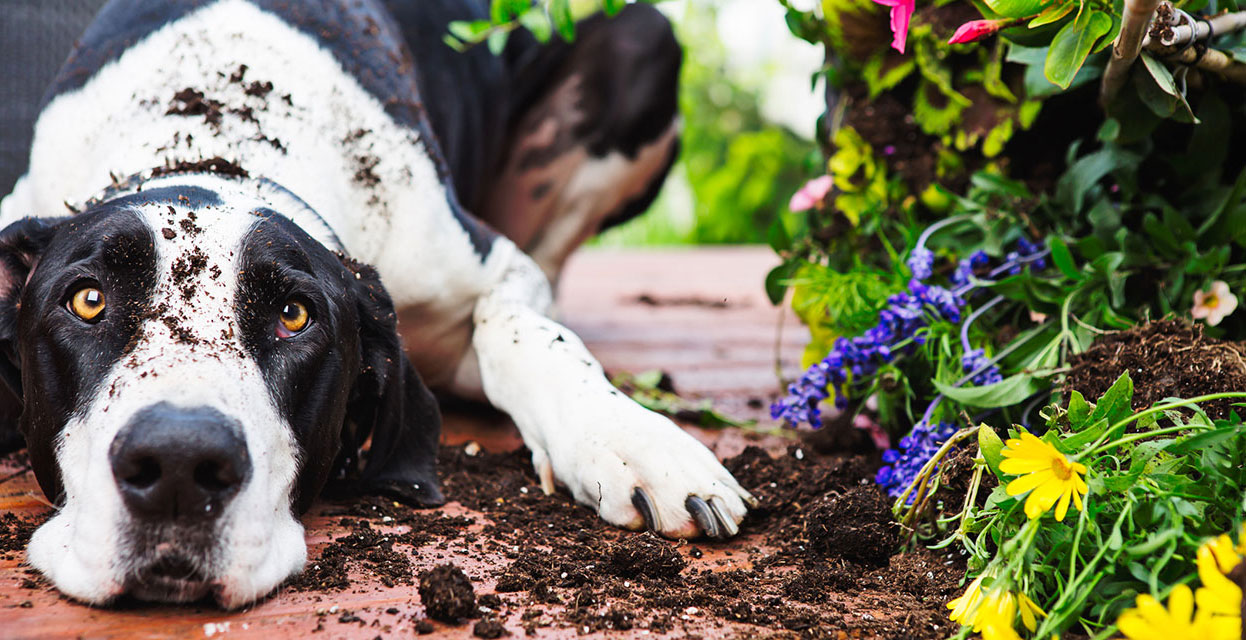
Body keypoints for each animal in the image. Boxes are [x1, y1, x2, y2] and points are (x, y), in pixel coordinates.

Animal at [0, 0, 747, 607]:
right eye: (88, 300)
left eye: (294, 315)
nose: (179, 466)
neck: (215, 144)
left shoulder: (493, 268)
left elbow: (526, 335)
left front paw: (632, 440)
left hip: (642, 40)